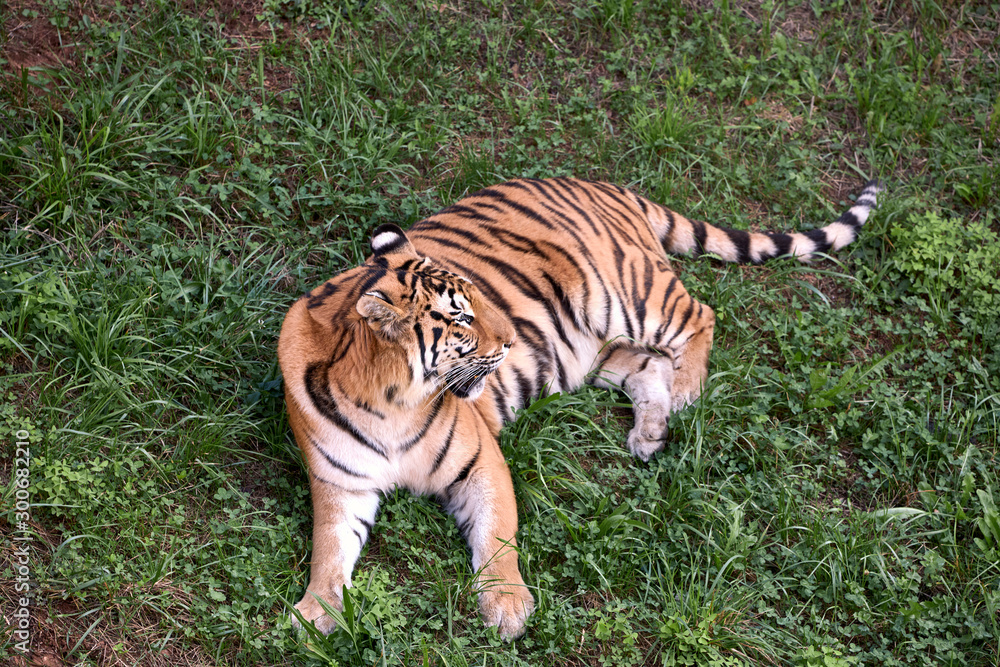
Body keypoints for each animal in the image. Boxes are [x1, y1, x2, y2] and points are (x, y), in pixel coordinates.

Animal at [277, 177, 881, 640]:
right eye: (463, 318)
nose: (507, 343)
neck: (390, 402)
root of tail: (607, 185)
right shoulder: (341, 485)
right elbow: (329, 550)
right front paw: (315, 614)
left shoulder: (479, 461)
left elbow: (498, 535)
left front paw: (507, 607)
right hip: (592, 352)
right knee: (649, 367)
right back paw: (650, 435)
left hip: (631, 296)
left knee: (701, 315)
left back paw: (688, 392)